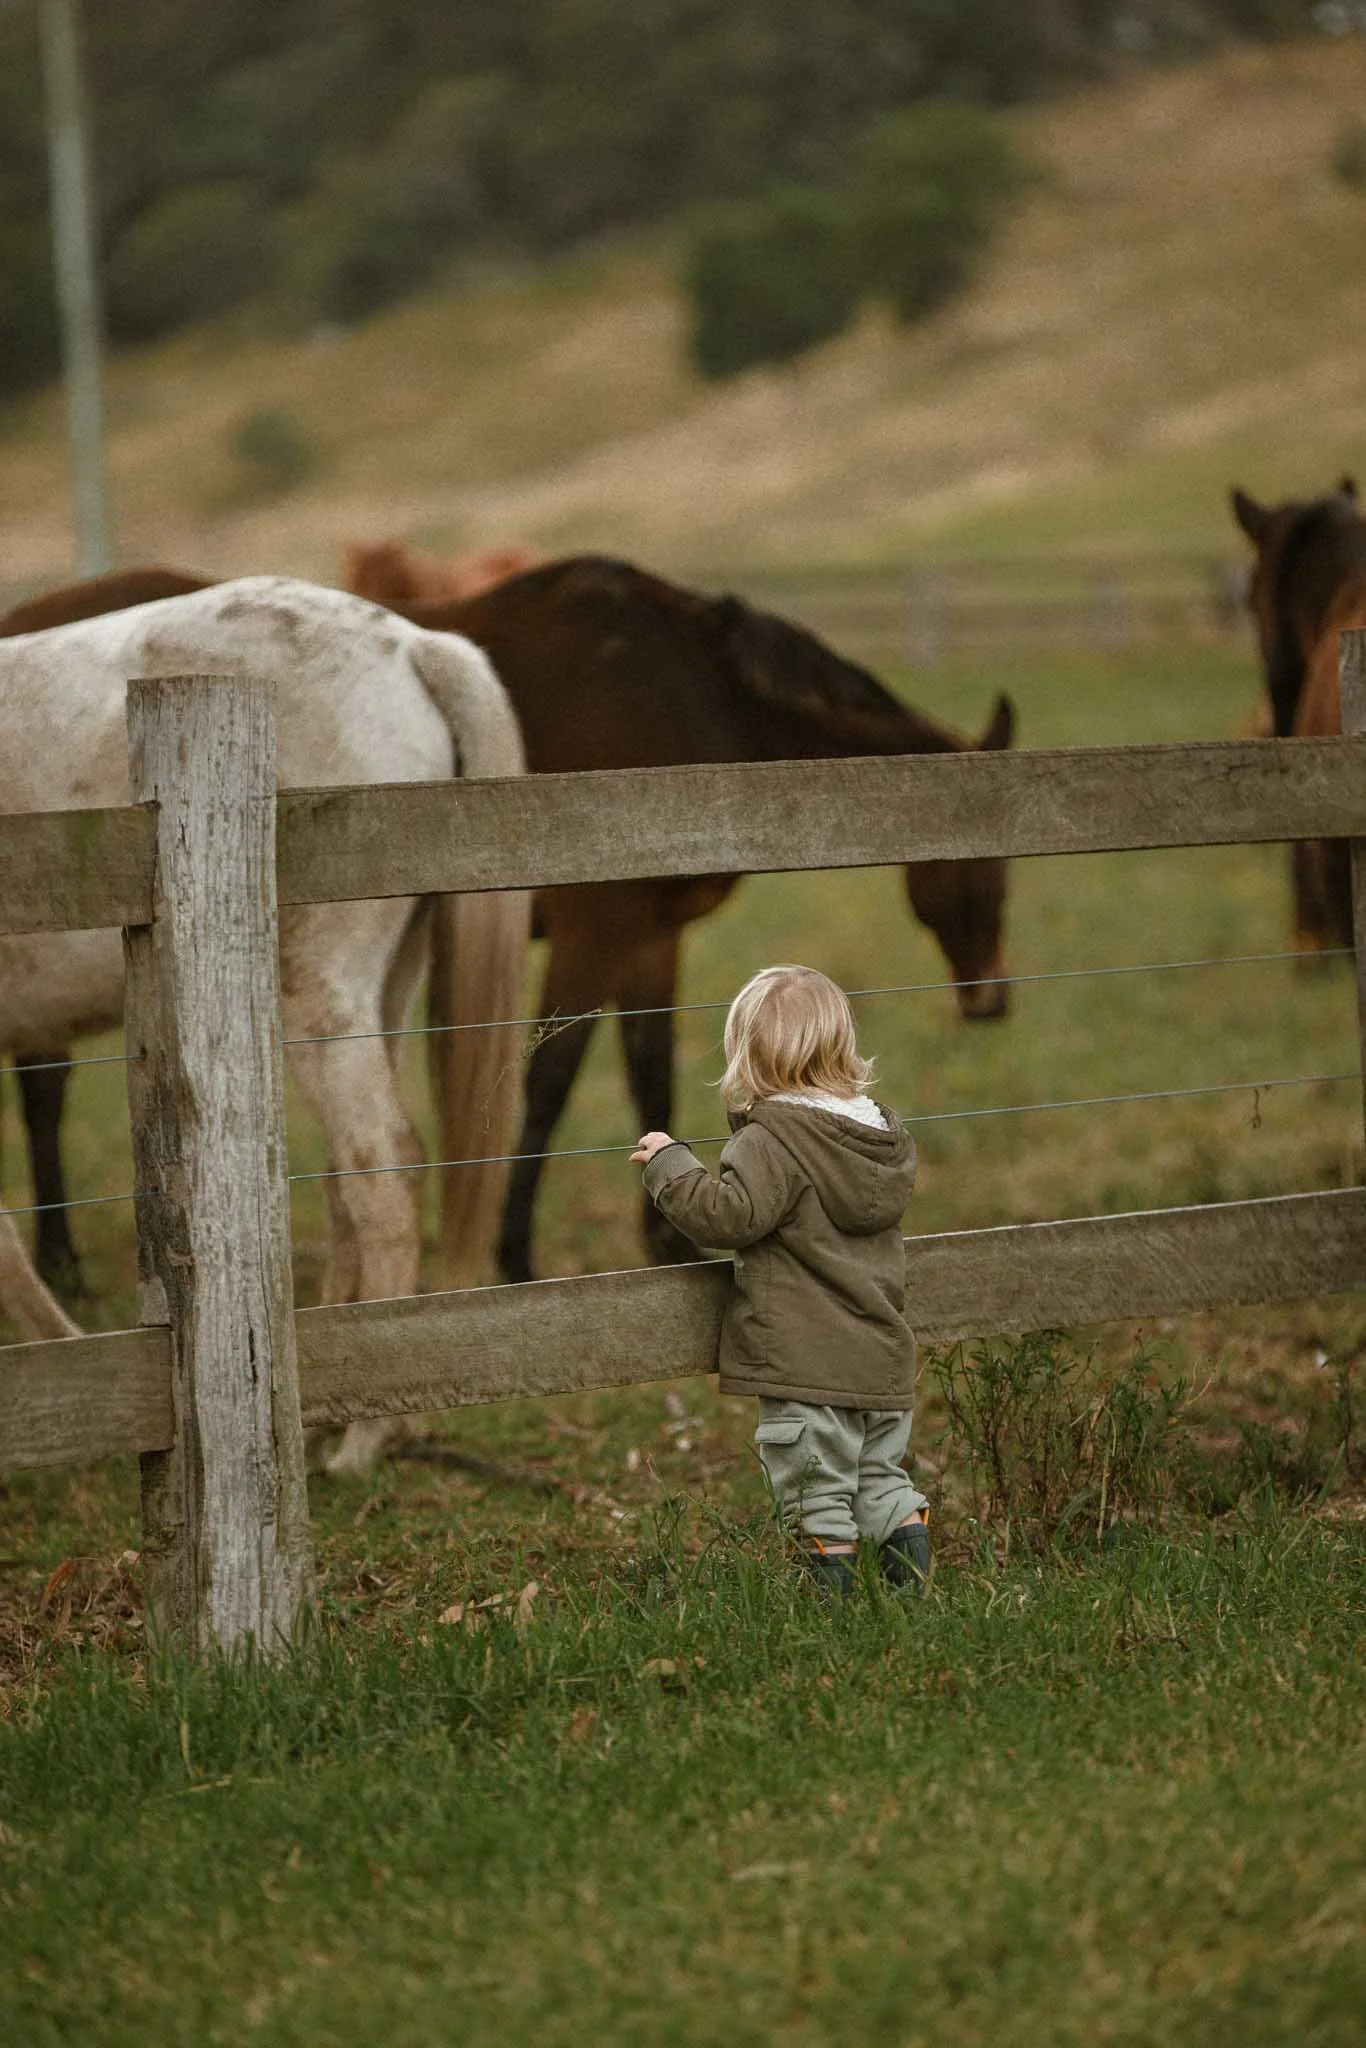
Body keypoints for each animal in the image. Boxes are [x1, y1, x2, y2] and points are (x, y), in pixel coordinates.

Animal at [0, 577, 529, 1472]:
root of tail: (411, 644)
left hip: (322, 1005)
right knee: (352, 1191)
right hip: (376, 1001)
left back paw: (363, 1440)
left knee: (383, 1173)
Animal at [2, 555, 1014, 1287]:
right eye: (980, 870)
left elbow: (648, 1067)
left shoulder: (652, 938)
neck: (697, 690)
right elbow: (552, 1080)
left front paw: (670, 1238)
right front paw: (518, 1254)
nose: (993, 1001)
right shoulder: (598, 930)